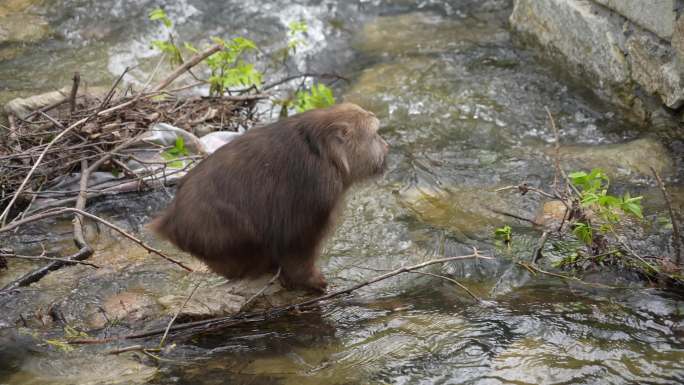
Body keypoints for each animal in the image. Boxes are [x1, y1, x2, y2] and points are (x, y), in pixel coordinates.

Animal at [152, 102, 390, 292]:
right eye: (375, 134)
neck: (327, 154)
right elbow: (296, 238)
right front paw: (311, 280)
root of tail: (170, 221)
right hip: (215, 232)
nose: (387, 145)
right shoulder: (319, 187)